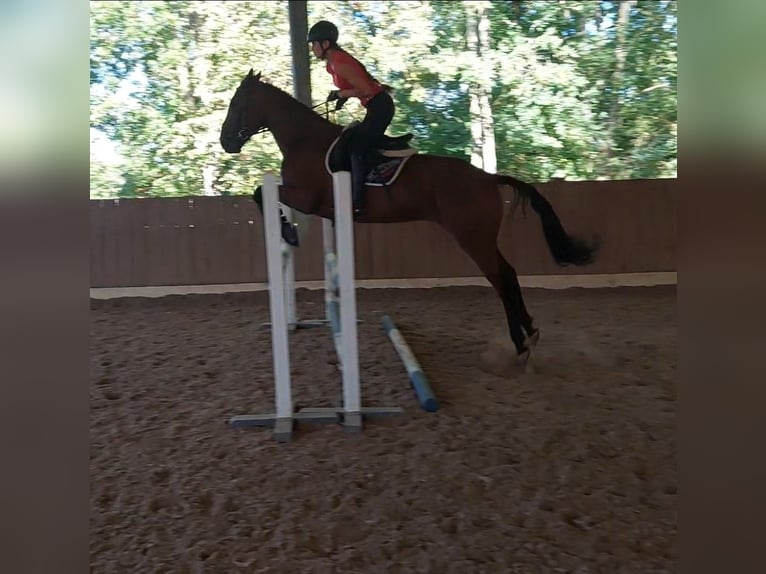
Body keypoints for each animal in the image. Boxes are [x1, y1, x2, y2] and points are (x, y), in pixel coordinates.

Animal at [219, 69, 598, 366]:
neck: (304, 141)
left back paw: (520, 344)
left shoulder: (306, 197)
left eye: (237, 104)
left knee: (500, 279)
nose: (225, 143)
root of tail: (488, 178)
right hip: (483, 238)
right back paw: (530, 332)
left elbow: (260, 192)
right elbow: (263, 195)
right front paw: (287, 230)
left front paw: (287, 232)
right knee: (510, 274)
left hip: (473, 238)